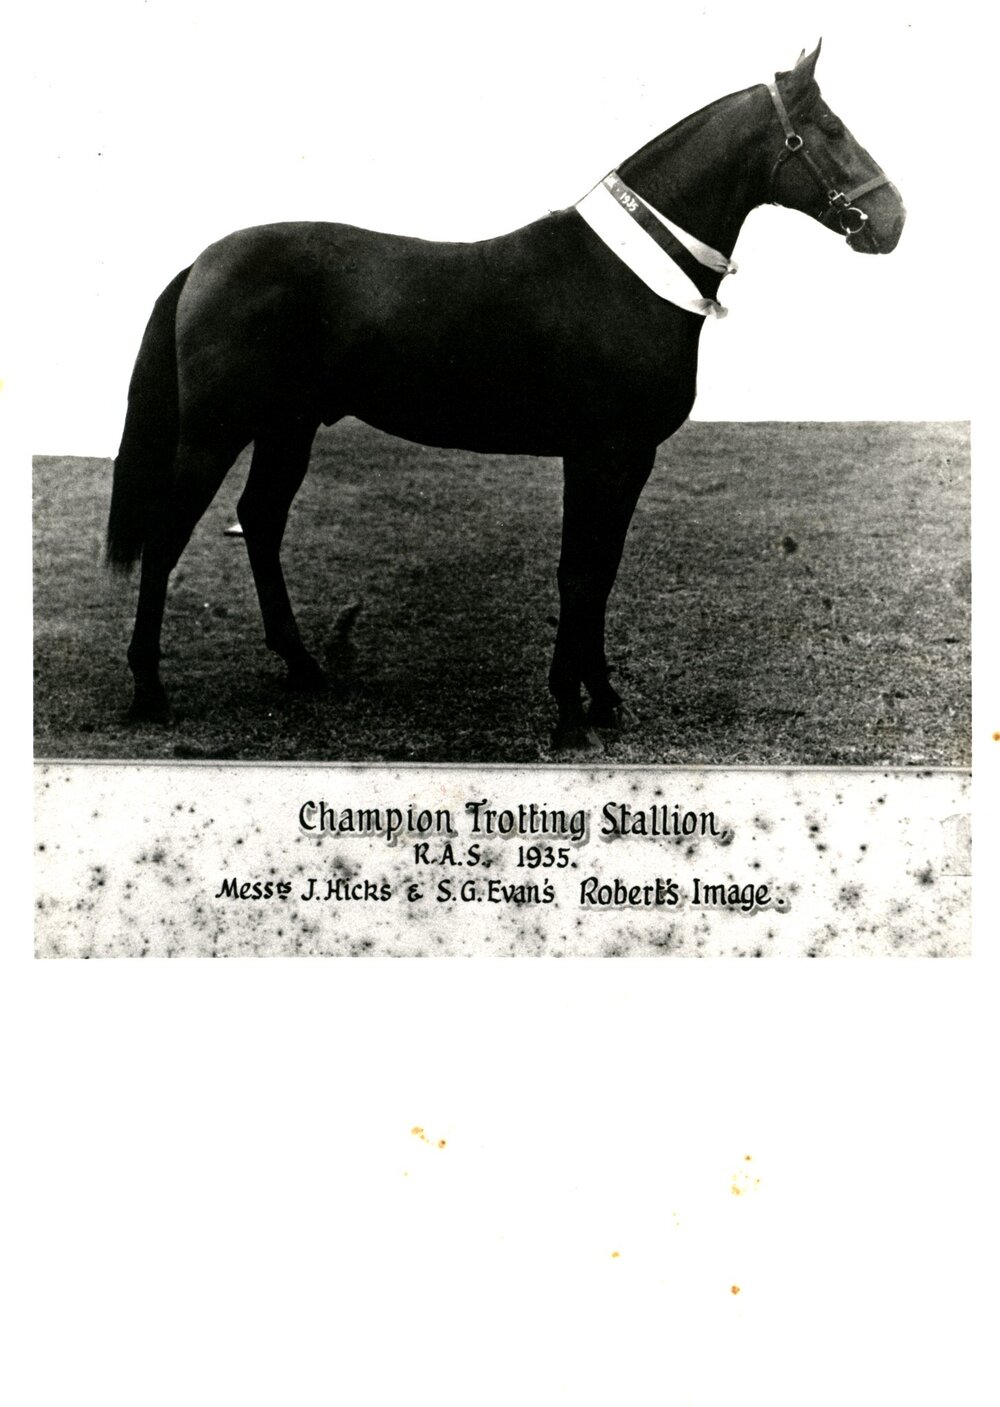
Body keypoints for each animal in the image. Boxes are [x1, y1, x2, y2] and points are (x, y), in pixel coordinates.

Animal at [105, 42, 904, 750]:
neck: (622, 278)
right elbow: (579, 575)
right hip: (213, 432)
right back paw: (149, 692)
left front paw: (603, 700)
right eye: (829, 128)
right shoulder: (600, 454)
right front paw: (571, 715)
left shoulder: (628, 460)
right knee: (168, 536)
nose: (893, 219)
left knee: (260, 521)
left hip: (287, 426)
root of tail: (203, 261)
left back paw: (303, 669)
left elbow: (600, 573)